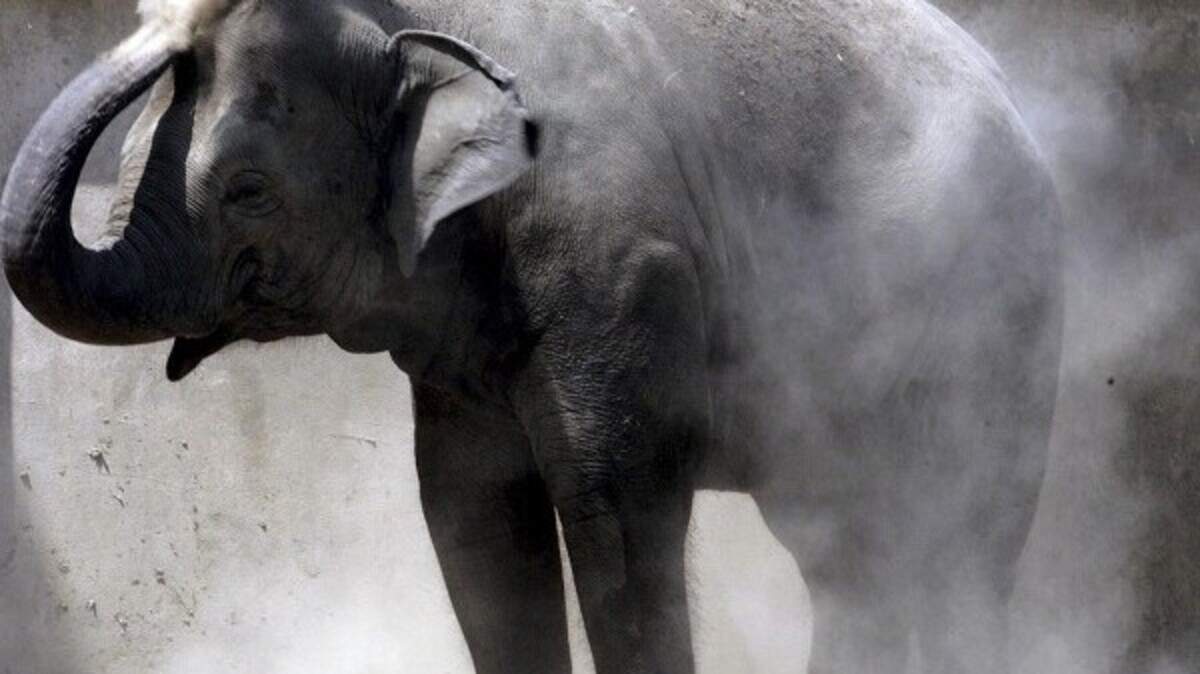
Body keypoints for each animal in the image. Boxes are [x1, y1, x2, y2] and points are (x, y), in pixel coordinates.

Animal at [0, 0, 1063, 672]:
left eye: (247, 191)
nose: (167, 24)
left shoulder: (622, 269)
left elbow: (612, 514)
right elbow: (473, 519)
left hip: (1004, 309)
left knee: (967, 539)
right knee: (845, 548)